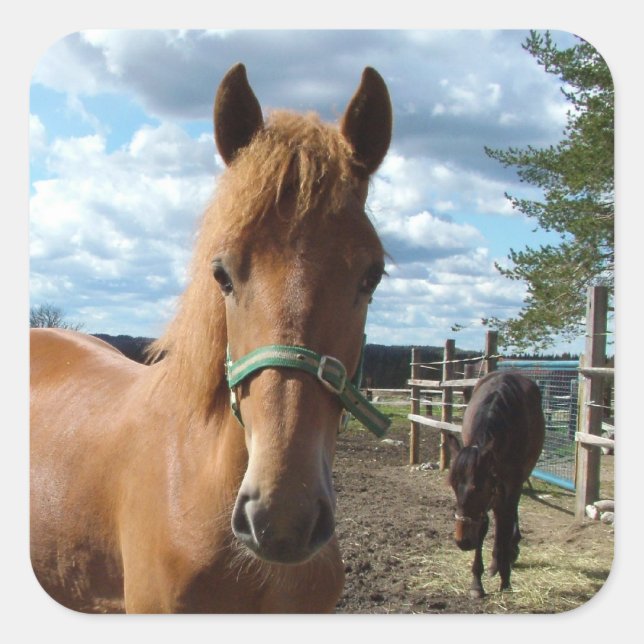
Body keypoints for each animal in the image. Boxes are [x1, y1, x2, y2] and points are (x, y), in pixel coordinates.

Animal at [446, 370, 545, 598]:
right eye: (453, 486)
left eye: (479, 487)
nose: (462, 541)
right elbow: (483, 527)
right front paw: (477, 582)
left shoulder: (509, 485)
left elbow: (504, 526)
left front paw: (505, 580)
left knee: (507, 518)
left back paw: (507, 554)